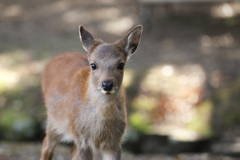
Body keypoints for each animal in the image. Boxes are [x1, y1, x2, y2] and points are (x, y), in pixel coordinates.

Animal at [39, 24, 142, 160]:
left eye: (121, 64)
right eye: (93, 65)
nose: (107, 84)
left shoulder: (115, 141)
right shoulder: (83, 139)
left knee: (72, 151)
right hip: (55, 120)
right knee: (47, 144)